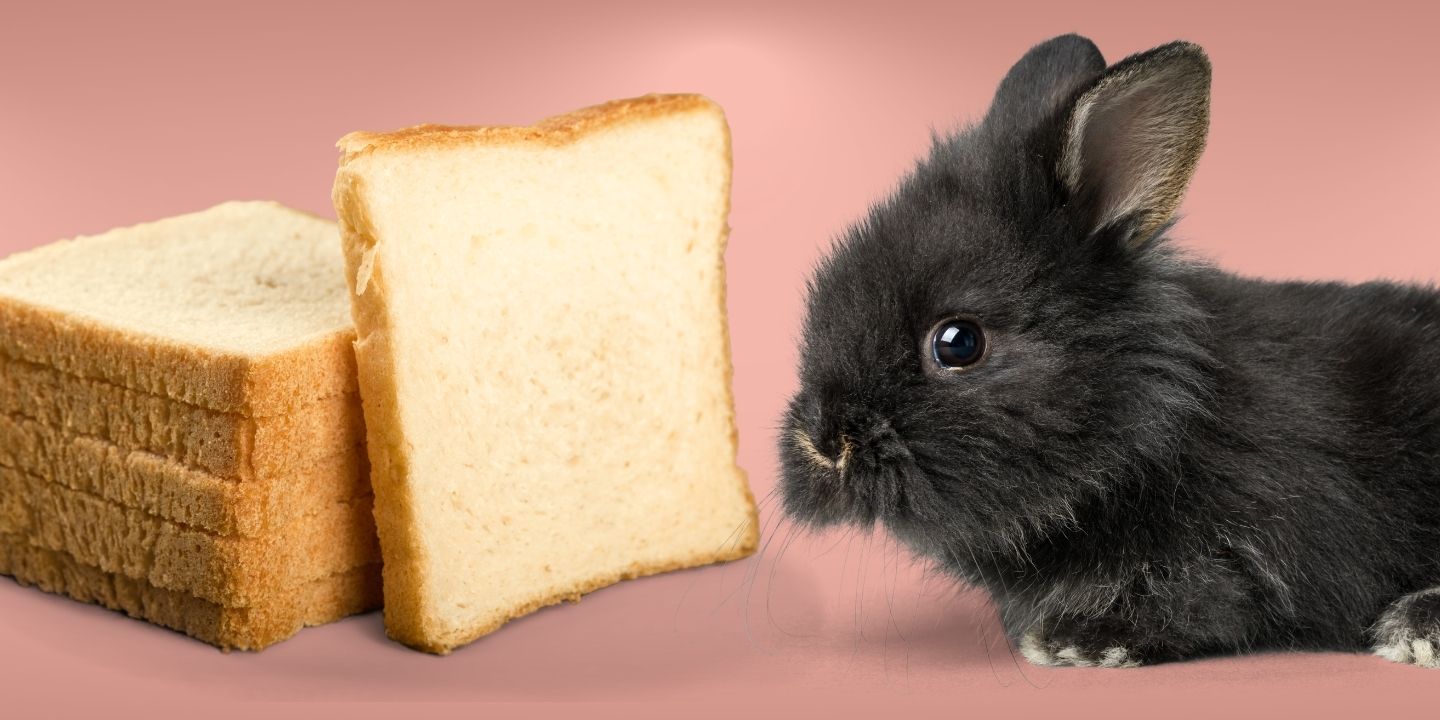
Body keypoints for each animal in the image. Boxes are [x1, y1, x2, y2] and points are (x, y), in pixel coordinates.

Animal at [777, 33, 1440, 668]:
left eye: (958, 343)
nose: (824, 443)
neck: (1157, 411)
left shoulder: (1242, 553)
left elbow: (1201, 602)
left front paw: (1079, 643)